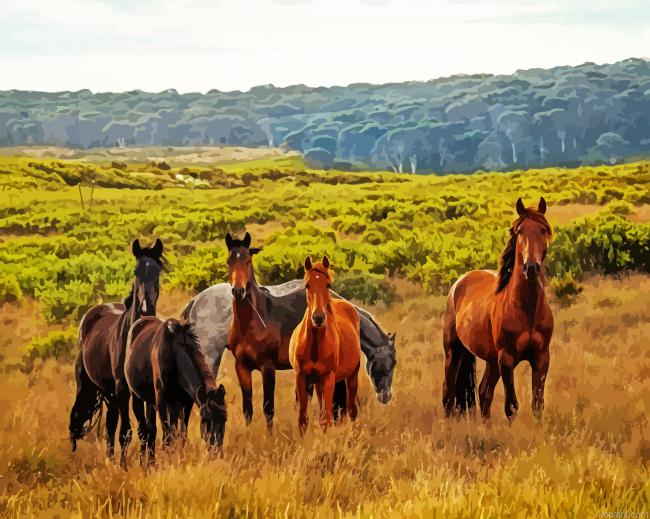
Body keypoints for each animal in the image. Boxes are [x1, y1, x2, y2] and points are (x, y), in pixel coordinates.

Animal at [68, 239, 163, 467]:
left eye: (158, 270)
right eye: (136, 271)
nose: (146, 309)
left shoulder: (146, 392)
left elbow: (149, 430)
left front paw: (149, 464)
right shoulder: (124, 390)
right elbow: (128, 431)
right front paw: (124, 467)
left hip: (110, 394)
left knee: (110, 426)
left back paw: (110, 459)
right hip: (88, 386)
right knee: (77, 418)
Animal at [125, 317, 226, 464]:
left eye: (225, 419)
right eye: (205, 419)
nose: (215, 453)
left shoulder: (185, 403)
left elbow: (181, 435)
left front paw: (179, 458)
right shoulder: (162, 401)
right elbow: (168, 435)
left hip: (155, 402)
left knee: (151, 429)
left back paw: (150, 462)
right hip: (137, 397)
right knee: (143, 430)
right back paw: (145, 462)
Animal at [290, 256, 362, 433]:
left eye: (328, 284)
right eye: (307, 285)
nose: (318, 318)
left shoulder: (328, 378)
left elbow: (326, 419)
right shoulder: (302, 377)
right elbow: (303, 419)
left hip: (352, 376)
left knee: (352, 410)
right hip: (318, 383)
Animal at [442, 197, 554, 422]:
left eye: (543, 229)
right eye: (520, 231)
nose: (531, 268)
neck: (527, 310)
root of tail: (458, 283)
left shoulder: (541, 358)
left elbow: (537, 405)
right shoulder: (507, 359)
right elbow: (511, 406)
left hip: (492, 361)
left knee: (484, 391)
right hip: (453, 352)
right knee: (448, 394)